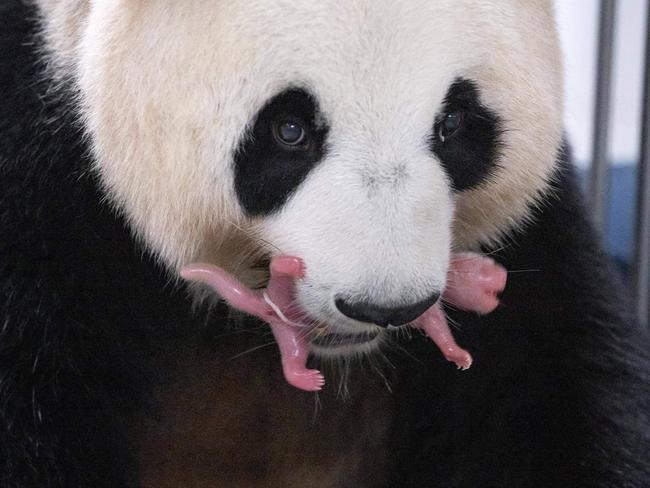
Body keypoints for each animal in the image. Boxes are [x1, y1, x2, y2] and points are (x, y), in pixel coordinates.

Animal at [1, 0, 648, 486]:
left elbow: (556, 392)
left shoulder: (534, 252)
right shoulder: (42, 202)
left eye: (454, 124)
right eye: (290, 130)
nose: (386, 307)